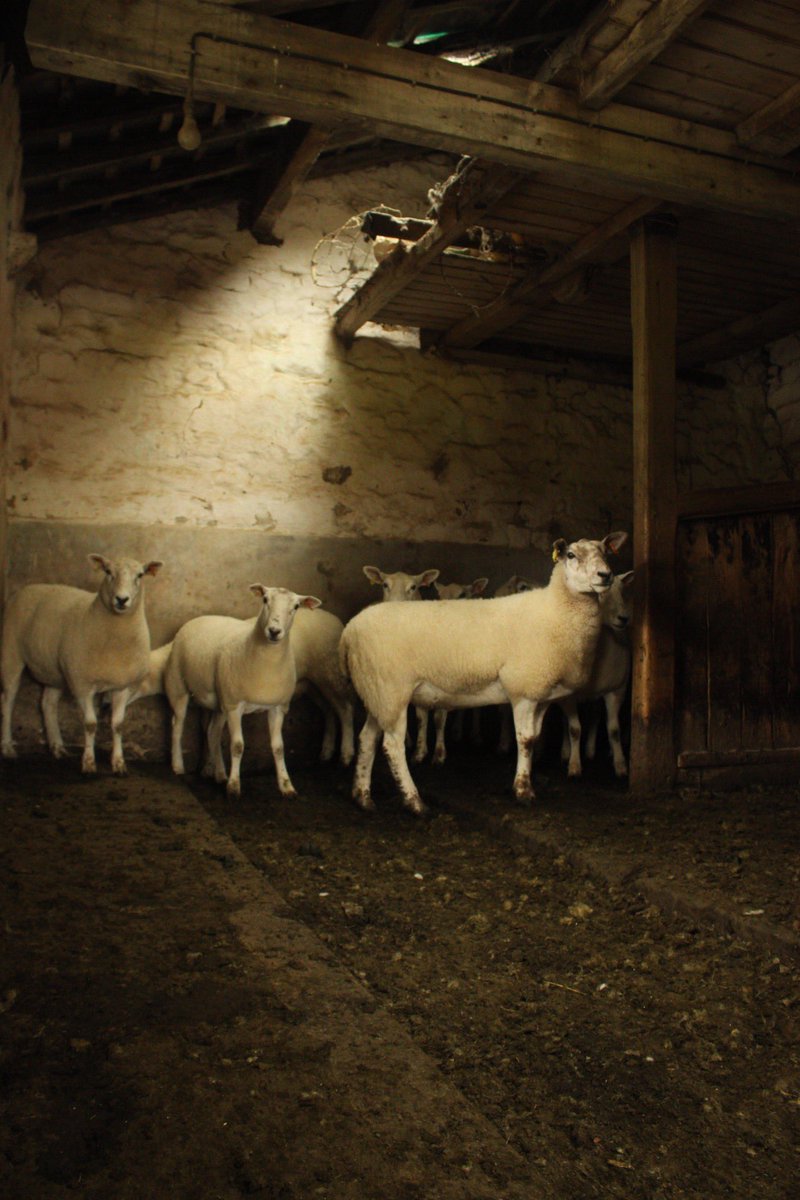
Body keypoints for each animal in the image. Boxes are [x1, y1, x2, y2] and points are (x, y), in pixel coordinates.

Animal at [1, 553, 163, 774]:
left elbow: (118, 725)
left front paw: (118, 762)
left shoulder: (122, 686)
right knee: (7, 701)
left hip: (55, 671)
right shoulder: (82, 684)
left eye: (140, 575)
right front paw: (88, 762)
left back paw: (58, 747)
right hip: (11, 654)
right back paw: (7, 747)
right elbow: (90, 724)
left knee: (48, 704)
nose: (121, 600)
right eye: (108, 572)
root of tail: (28, 588)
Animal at [164, 585, 321, 799]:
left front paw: (286, 785)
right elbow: (237, 746)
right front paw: (234, 786)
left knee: (212, 733)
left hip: (219, 702)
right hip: (178, 686)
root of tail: (199, 618)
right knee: (177, 725)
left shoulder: (278, 707)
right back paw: (178, 765)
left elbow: (279, 748)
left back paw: (219, 774)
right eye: (265, 599)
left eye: (296, 606)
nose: (274, 631)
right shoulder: (234, 706)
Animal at [558, 570, 634, 779]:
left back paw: (591, 750)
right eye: (600, 593)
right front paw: (574, 765)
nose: (624, 618)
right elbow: (574, 729)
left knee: (595, 714)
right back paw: (566, 752)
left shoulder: (616, 690)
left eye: (622, 592)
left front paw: (620, 765)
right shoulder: (569, 696)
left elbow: (614, 729)